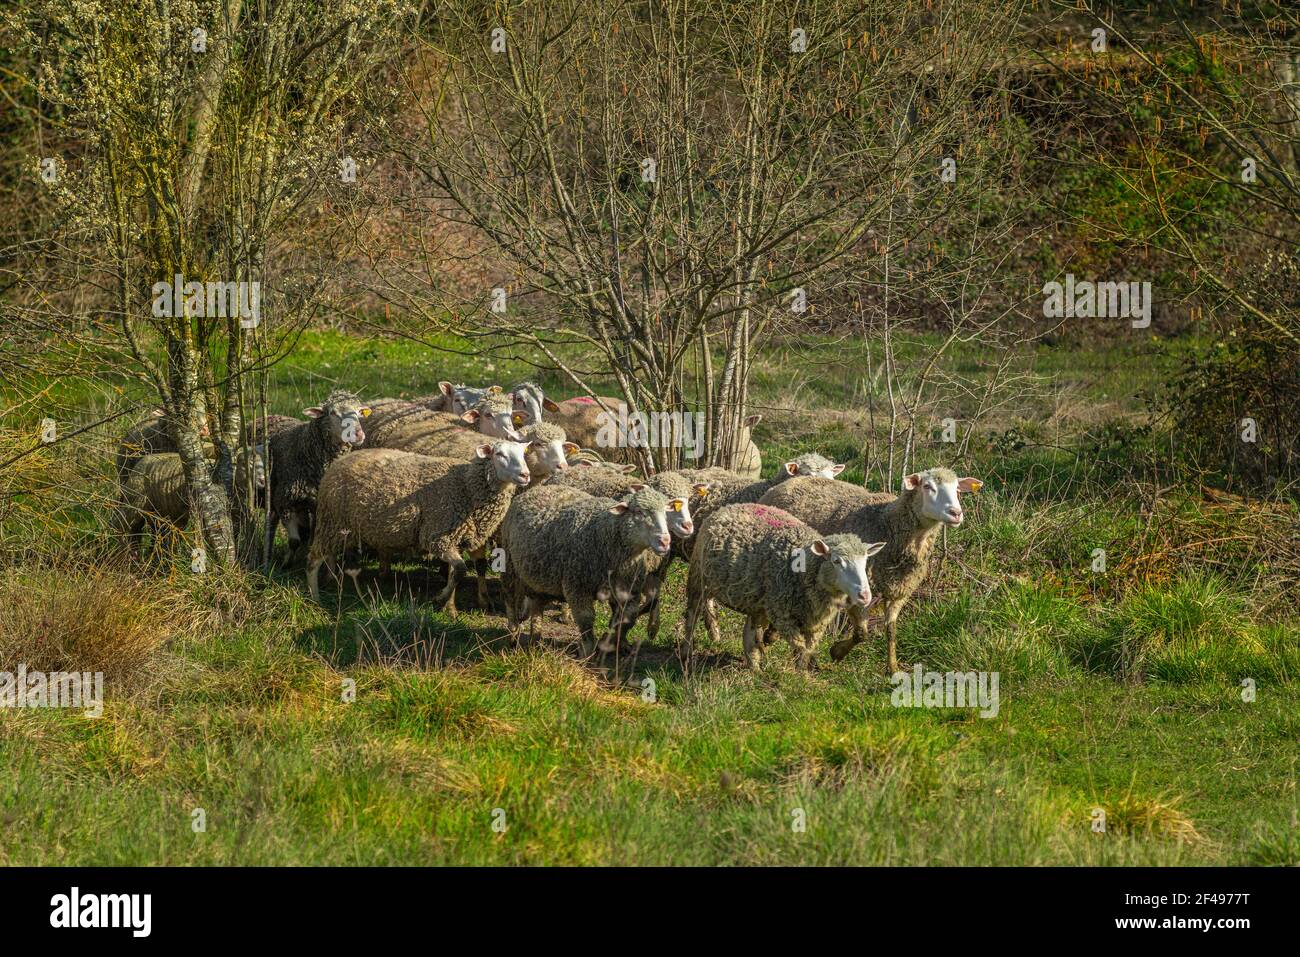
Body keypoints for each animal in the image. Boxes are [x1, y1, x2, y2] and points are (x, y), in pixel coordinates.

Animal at [265, 390, 374, 564]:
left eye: (358, 412)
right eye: (333, 413)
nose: (358, 434)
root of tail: (272, 415)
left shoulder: (318, 506)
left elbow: (313, 538)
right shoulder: (284, 500)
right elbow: (294, 541)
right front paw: (286, 563)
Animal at [306, 442, 530, 613]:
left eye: (523, 453)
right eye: (500, 454)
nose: (525, 475)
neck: (466, 487)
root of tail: (338, 463)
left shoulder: (463, 537)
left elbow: (464, 570)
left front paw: (454, 606)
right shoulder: (436, 536)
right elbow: (460, 569)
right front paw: (441, 600)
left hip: (339, 526)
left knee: (328, 554)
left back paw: (330, 578)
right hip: (331, 520)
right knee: (313, 559)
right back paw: (315, 598)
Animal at [496, 488, 676, 655]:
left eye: (666, 512)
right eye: (639, 511)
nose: (665, 541)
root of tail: (535, 490)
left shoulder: (628, 590)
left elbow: (627, 620)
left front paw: (611, 642)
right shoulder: (577, 586)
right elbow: (586, 619)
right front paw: (588, 652)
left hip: (539, 577)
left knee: (537, 606)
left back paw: (535, 641)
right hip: (509, 564)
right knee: (510, 600)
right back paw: (513, 636)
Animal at [681, 504, 883, 670]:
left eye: (865, 560)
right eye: (836, 561)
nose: (865, 595)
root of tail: (728, 506)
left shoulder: (816, 623)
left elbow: (813, 646)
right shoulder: (782, 615)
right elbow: (802, 649)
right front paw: (802, 676)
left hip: (756, 600)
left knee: (749, 634)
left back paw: (755, 668)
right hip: (698, 577)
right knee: (692, 615)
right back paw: (686, 652)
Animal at [759, 468, 977, 670]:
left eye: (957, 489)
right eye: (927, 486)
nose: (956, 513)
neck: (887, 524)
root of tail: (787, 483)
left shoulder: (899, 592)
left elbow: (891, 631)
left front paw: (892, 668)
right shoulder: (860, 590)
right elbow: (861, 633)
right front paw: (837, 651)